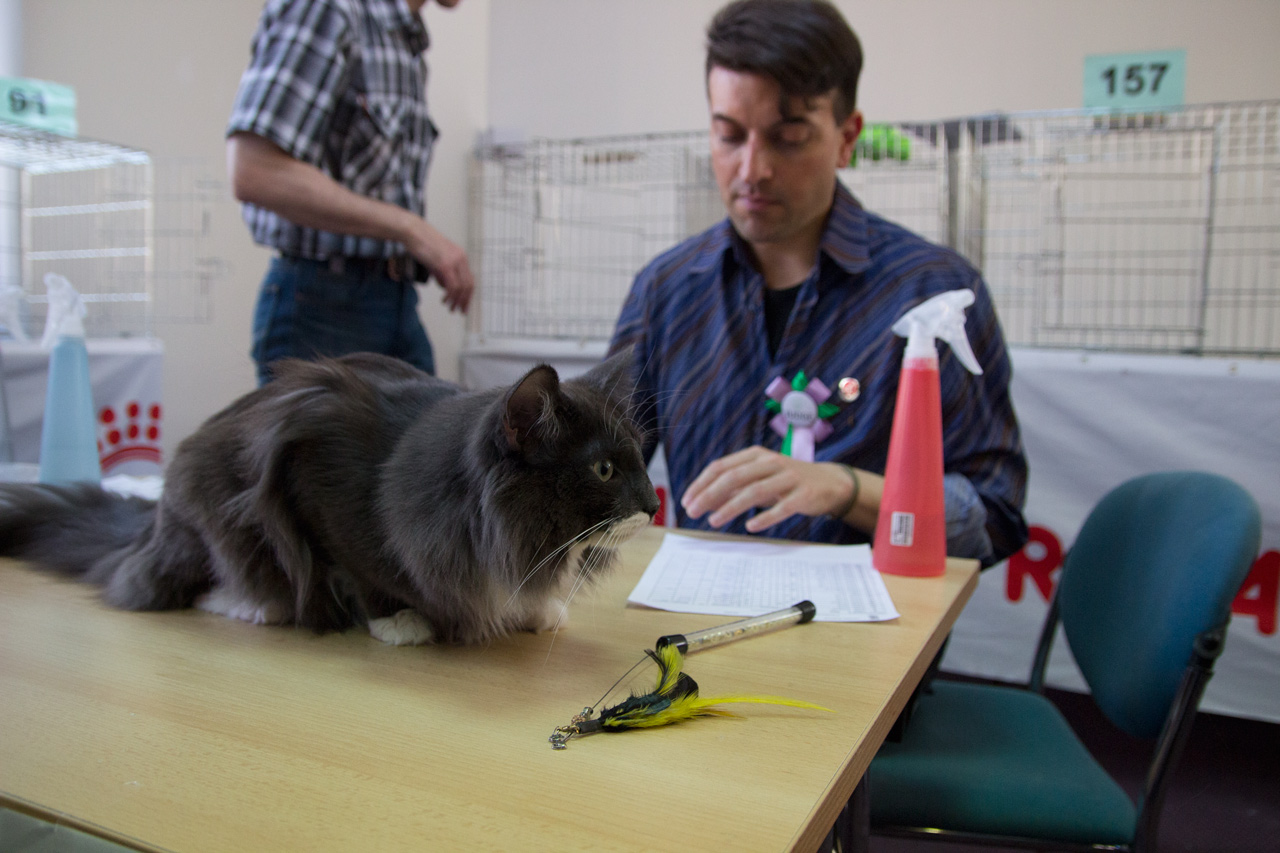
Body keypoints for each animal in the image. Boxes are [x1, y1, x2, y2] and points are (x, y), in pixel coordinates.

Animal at [0, 350, 659, 645]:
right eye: (604, 469)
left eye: (638, 456)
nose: (654, 505)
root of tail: (151, 521)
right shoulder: (315, 477)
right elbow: (364, 568)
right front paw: (401, 622)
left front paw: (534, 611)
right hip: (215, 515)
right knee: (179, 585)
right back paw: (252, 606)